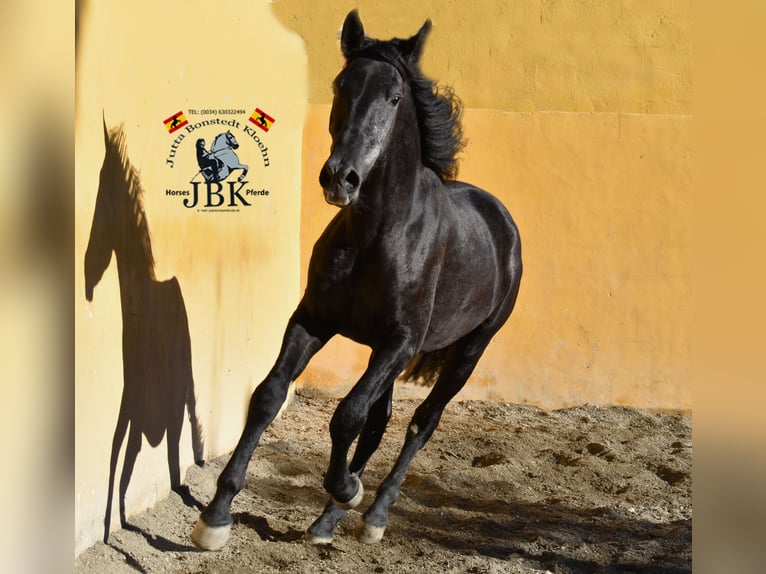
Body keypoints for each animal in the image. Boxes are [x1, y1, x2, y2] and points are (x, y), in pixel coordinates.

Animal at [192, 7, 520, 548]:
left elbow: (346, 414)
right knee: (379, 419)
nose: (339, 178)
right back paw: (326, 523)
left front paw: (348, 488)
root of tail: (502, 221)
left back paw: (373, 513)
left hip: (469, 350)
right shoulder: (313, 320)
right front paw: (215, 517)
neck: (376, 234)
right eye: (341, 85)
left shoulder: (402, 341)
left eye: (394, 97)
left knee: (420, 423)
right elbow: (269, 396)